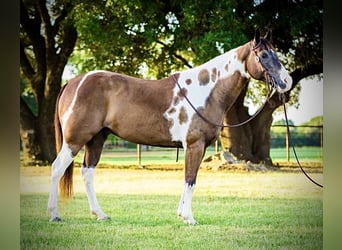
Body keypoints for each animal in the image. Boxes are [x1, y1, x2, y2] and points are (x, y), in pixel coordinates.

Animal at [46, 29, 292, 225]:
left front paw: (182, 215)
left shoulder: (196, 147)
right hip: (75, 140)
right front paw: (189, 218)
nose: (286, 82)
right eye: (263, 55)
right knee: (57, 169)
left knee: (87, 173)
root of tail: (73, 83)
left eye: (276, 53)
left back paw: (100, 214)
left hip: (96, 139)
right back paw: (54, 215)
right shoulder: (194, 145)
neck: (207, 91)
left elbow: (188, 179)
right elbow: (190, 179)